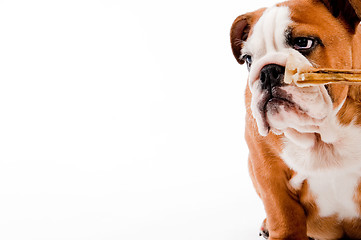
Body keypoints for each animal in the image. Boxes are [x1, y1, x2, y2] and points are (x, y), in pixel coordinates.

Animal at [231, 0, 361, 240]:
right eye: (248, 60)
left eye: (303, 43)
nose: (268, 71)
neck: (322, 135)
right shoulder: (267, 170)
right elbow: (283, 215)